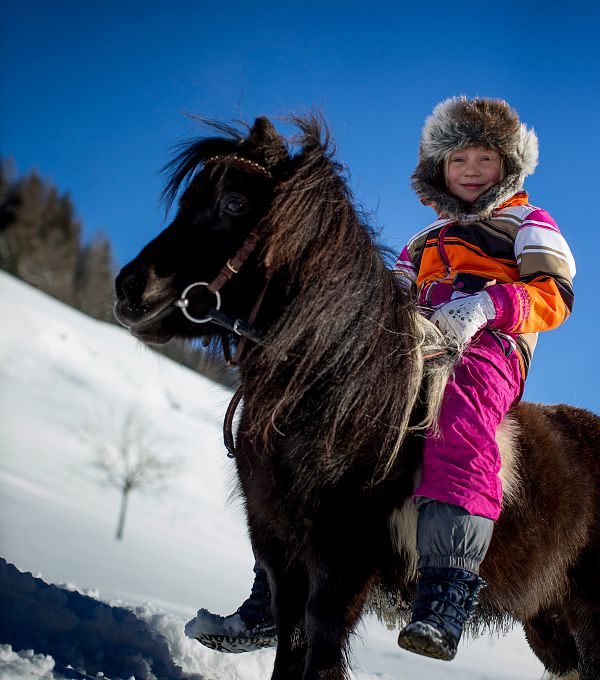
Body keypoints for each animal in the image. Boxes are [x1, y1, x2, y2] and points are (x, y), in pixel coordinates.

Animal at [116, 117, 600, 680]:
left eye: (234, 203)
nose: (129, 289)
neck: (342, 397)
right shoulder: (279, 548)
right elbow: (288, 642)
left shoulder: (342, 568)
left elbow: (321, 654)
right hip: (549, 622)